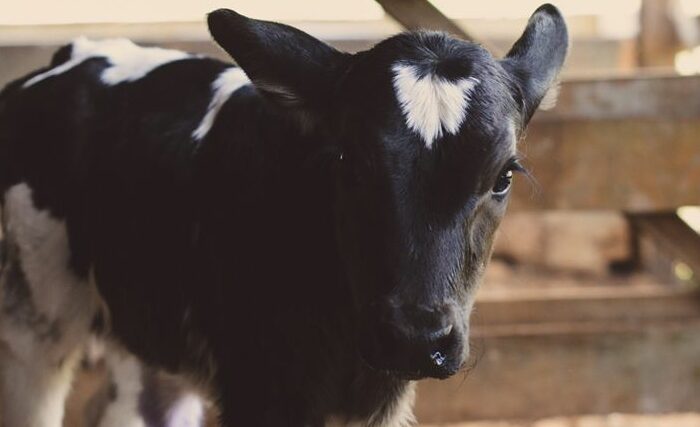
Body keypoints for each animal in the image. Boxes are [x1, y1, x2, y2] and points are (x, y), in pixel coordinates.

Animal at [0, 4, 567, 426]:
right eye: (348, 160)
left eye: (503, 176)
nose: (415, 338)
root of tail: (77, 52)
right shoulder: (258, 388)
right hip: (31, 323)